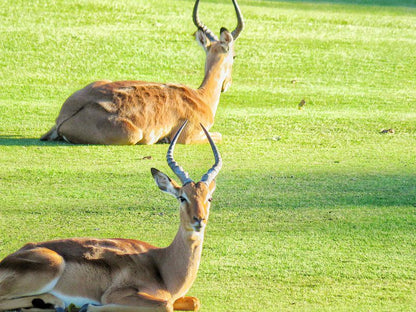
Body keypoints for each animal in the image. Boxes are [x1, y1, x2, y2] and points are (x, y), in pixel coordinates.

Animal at [0, 121, 223, 312]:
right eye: (182, 197)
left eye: (209, 198)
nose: (199, 220)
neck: (163, 267)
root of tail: (7, 260)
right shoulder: (116, 294)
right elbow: (165, 304)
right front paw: (87, 306)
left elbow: (193, 301)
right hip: (52, 264)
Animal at [39, 0, 244, 146]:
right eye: (234, 56)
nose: (227, 85)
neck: (201, 97)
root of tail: (63, 115)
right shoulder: (190, 136)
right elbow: (219, 135)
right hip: (132, 134)